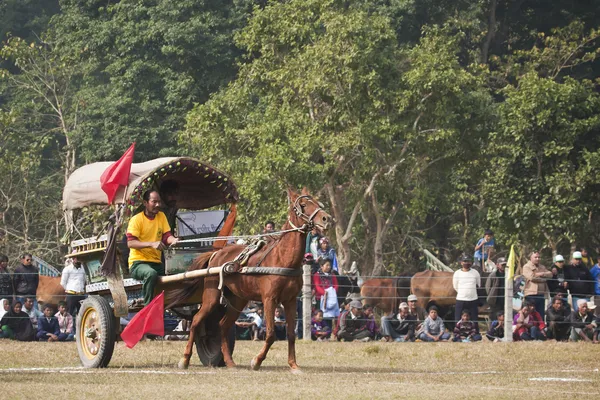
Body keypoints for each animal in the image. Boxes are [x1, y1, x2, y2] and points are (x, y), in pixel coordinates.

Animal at [168, 188, 332, 372]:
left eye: (317, 202)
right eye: (303, 205)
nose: (326, 219)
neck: (282, 258)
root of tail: (215, 253)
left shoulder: (290, 301)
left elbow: (291, 334)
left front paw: (293, 365)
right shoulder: (269, 300)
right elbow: (270, 334)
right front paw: (257, 361)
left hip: (238, 299)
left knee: (222, 325)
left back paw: (229, 362)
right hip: (211, 296)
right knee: (196, 321)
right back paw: (185, 359)